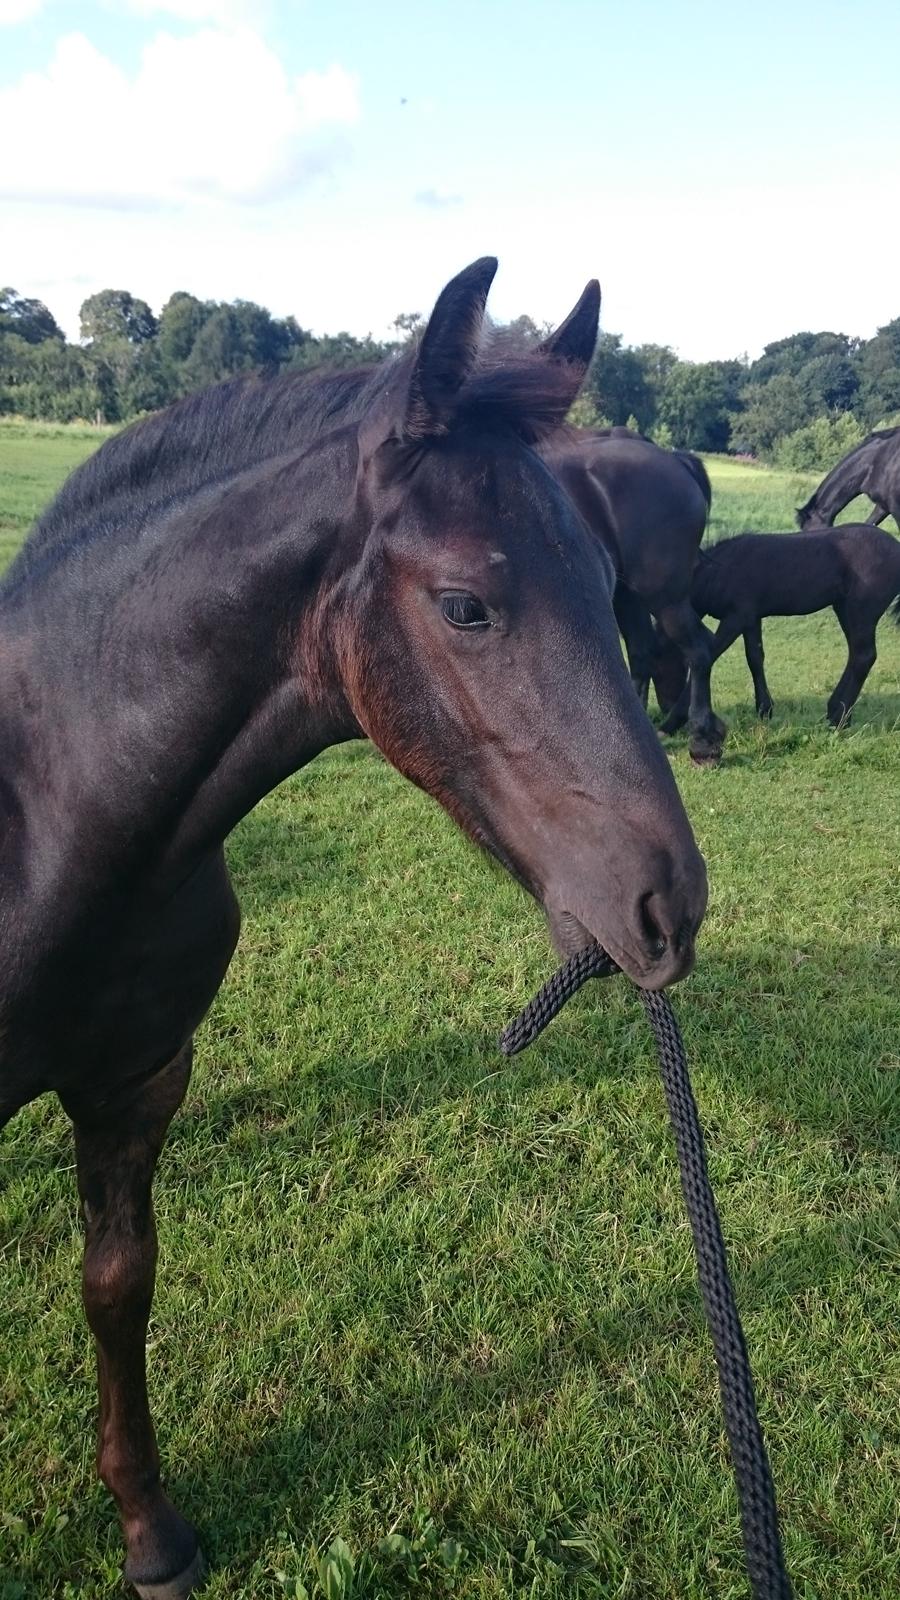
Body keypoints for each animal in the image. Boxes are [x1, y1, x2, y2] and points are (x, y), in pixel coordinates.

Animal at [538, 432, 720, 761]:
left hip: (663, 598)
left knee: (699, 650)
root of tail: (675, 460)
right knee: (641, 653)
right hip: (628, 597)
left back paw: (701, 739)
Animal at [650, 524, 896, 726]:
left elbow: (709, 655)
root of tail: (896, 546)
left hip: (861, 611)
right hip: (844, 609)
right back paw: (837, 712)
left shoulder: (735, 618)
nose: (665, 707)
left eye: (658, 666)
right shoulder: (751, 618)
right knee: (856, 655)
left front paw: (673, 722)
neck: (721, 570)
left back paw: (839, 718)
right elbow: (755, 658)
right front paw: (764, 710)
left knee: (864, 656)